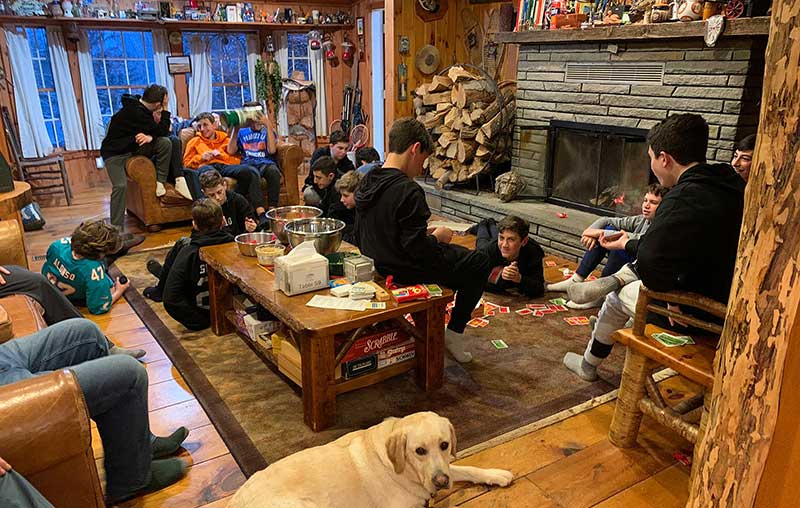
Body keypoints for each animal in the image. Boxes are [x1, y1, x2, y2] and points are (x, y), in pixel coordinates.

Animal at [227, 410, 512, 506]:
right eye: (419, 451)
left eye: (444, 445)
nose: (441, 483)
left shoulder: (443, 468)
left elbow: (464, 467)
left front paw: (496, 474)